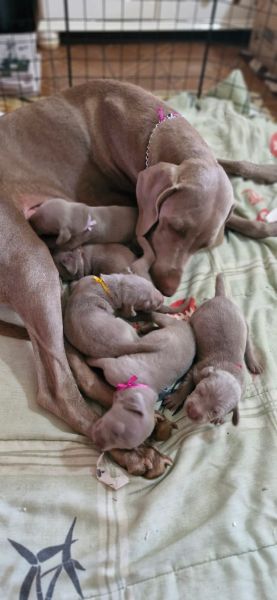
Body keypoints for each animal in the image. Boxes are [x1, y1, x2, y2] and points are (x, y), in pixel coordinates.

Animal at [164, 274, 264, 424]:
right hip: (200, 314)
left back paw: (254, 363)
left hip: (244, 322)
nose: (192, 412)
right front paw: (176, 399)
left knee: (249, 343)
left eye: (214, 411)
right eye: (200, 391)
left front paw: (220, 419)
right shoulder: (197, 369)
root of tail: (221, 296)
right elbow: (187, 384)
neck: (229, 369)